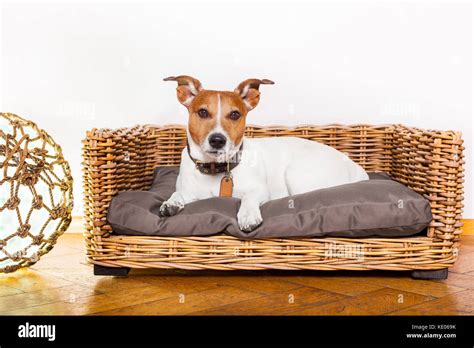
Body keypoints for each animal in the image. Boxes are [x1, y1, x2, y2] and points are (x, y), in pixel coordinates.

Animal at [157, 76, 368, 231]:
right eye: (202, 112)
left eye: (235, 114)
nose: (217, 140)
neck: (216, 168)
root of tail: (355, 167)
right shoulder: (189, 191)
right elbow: (178, 193)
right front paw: (171, 202)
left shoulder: (260, 190)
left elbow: (249, 197)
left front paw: (248, 214)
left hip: (295, 174)